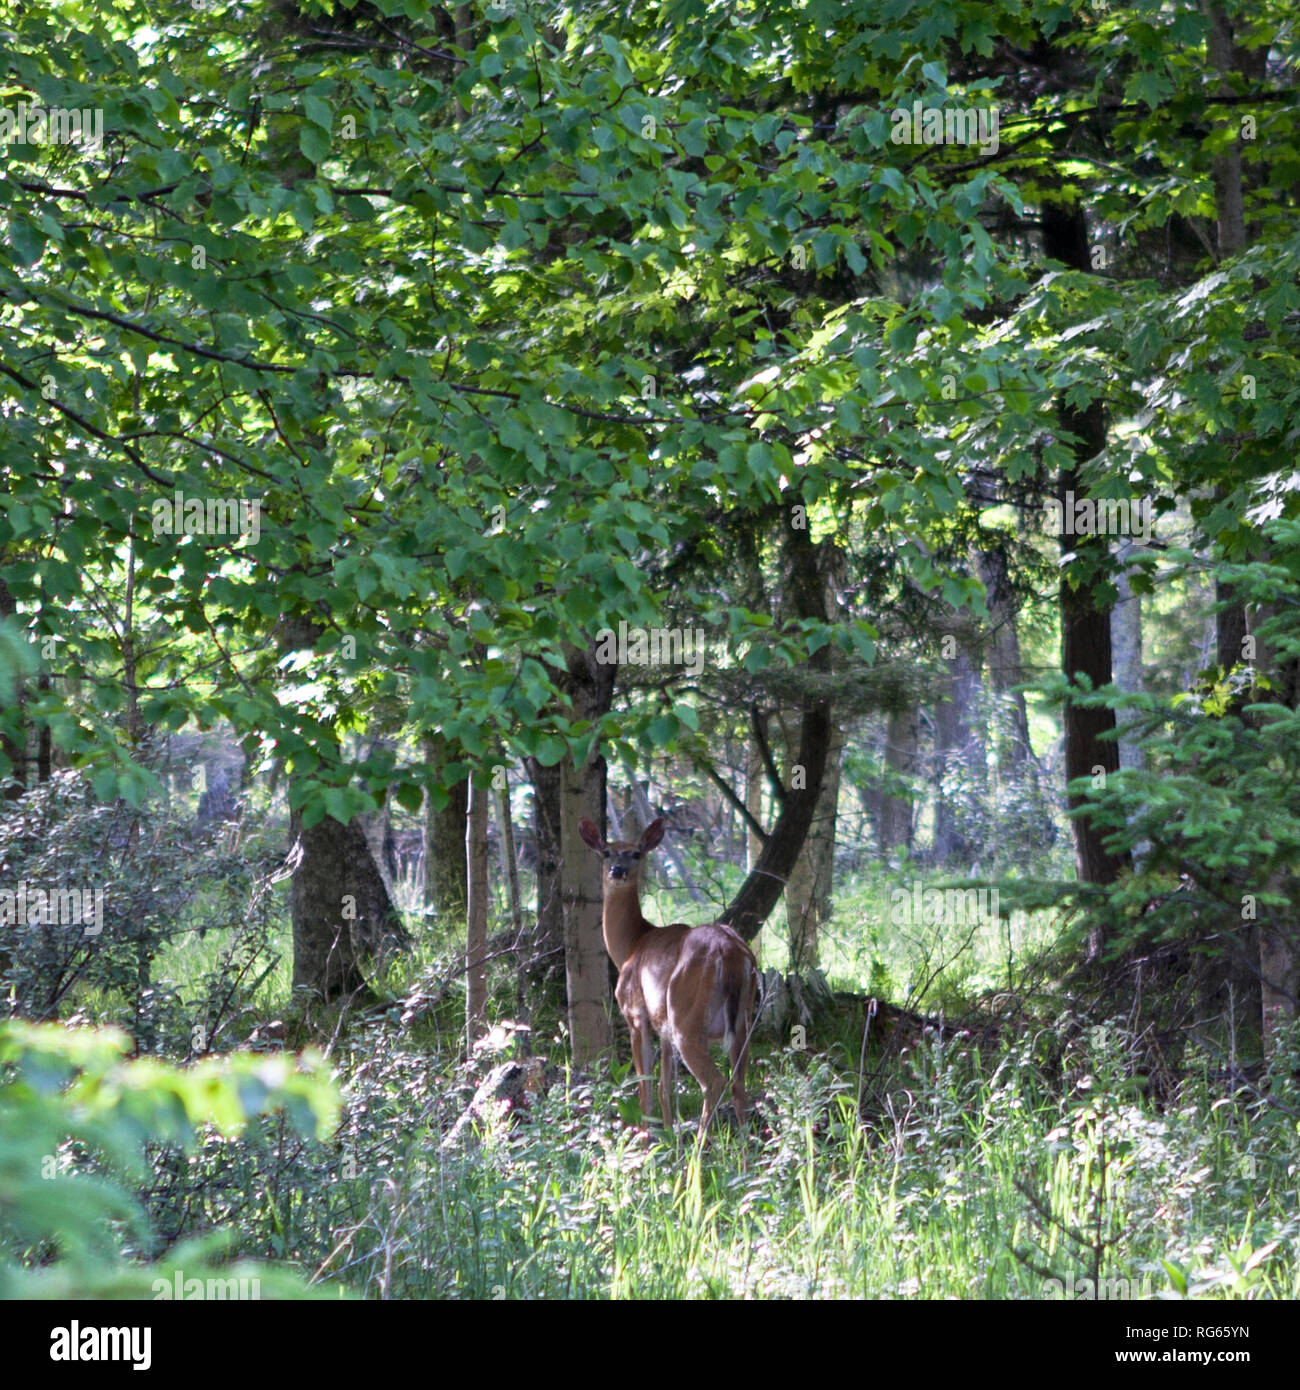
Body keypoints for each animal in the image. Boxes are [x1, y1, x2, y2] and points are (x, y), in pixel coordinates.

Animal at [581, 811, 761, 1128]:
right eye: (606, 852)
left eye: (636, 853)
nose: (617, 870)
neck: (632, 944)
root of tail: (730, 953)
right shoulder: (662, 1026)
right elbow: (665, 1087)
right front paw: (668, 1132)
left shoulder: (635, 1012)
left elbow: (644, 1086)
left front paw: (645, 1133)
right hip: (743, 1019)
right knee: (740, 1084)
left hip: (685, 1015)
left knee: (714, 1083)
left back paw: (700, 1142)